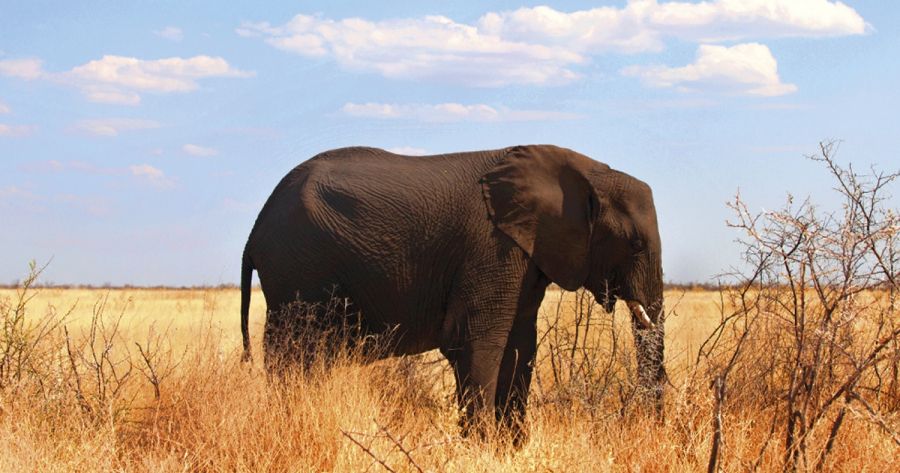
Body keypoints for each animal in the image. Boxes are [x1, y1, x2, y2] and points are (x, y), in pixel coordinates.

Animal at [240, 144, 666, 438]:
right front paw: (481, 446)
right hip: (296, 270)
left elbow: (520, 345)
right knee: (292, 354)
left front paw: (511, 447)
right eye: (634, 244)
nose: (651, 426)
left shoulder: (524, 254)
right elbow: (476, 342)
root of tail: (255, 230)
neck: (586, 171)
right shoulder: (490, 248)